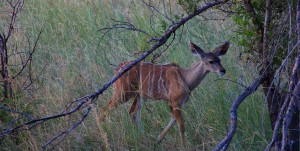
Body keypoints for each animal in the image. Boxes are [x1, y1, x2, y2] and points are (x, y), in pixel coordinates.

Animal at [99, 40, 230, 147]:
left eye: (219, 60)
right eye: (211, 61)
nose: (223, 70)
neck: (186, 79)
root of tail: (117, 68)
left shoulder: (180, 102)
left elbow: (173, 120)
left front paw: (158, 139)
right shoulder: (174, 100)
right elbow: (181, 126)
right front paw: (184, 147)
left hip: (140, 95)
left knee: (132, 112)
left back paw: (142, 137)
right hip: (122, 92)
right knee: (104, 110)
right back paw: (104, 136)